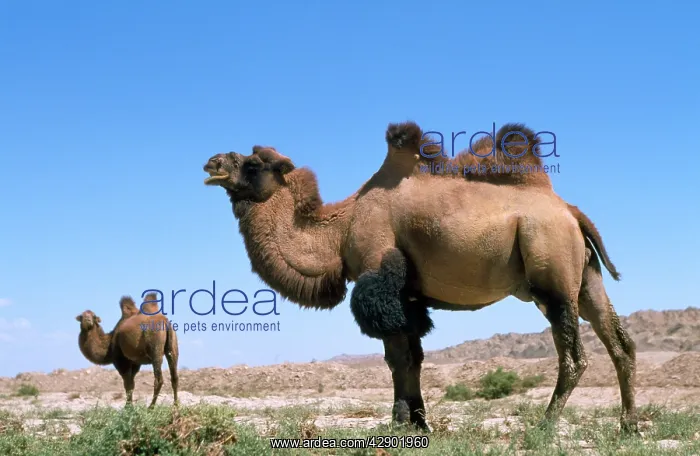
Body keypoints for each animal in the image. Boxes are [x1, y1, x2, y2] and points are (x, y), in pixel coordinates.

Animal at [201, 121, 637, 435]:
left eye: (252, 164)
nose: (211, 163)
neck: (340, 228)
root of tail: (570, 212)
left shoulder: (378, 277)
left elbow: (396, 355)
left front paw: (398, 422)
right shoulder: (408, 294)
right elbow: (413, 357)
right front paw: (419, 422)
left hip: (552, 273)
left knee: (575, 355)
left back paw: (544, 426)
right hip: (586, 277)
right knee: (621, 343)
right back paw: (629, 426)